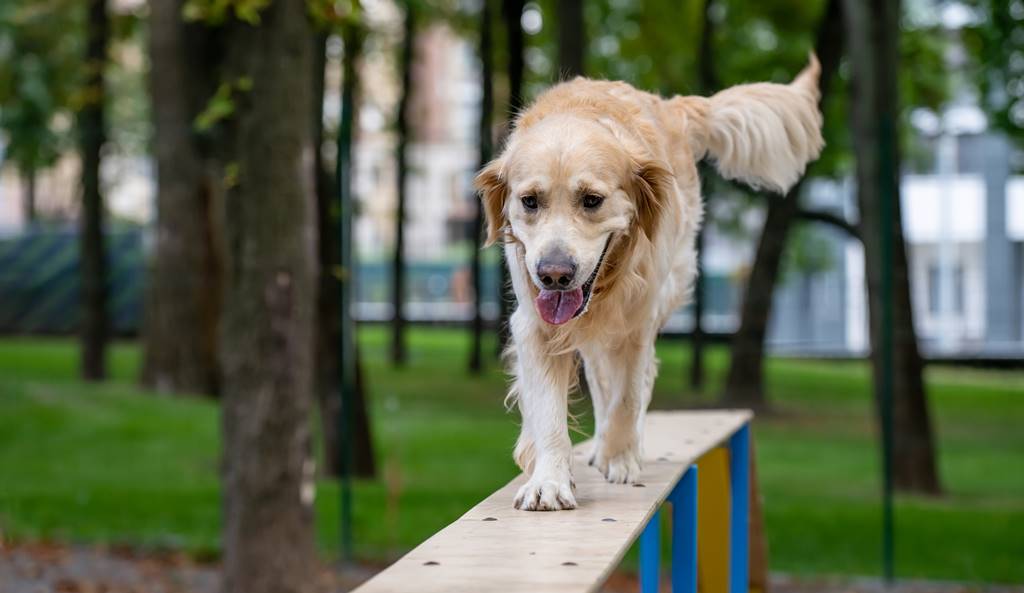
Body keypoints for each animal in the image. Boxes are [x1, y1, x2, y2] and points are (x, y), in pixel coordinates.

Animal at [477, 56, 823, 510]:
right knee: (600, 379)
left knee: (634, 385)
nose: (554, 273)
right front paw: (549, 479)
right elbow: (548, 410)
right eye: (530, 201)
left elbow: (627, 397)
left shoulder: (637, 322)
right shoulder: (535, 323)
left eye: (592, 200)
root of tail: (672, 105)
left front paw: (620, 460)